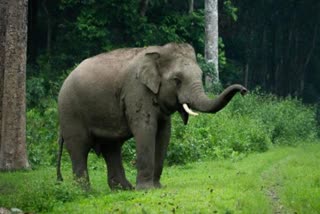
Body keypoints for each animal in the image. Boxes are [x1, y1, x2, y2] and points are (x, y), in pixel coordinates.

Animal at [57, 42, 248, 190]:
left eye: (201, 76)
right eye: (177, 80)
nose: (244, 91)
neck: (158, 51)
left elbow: (164, 134)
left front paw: (157, 187)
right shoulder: (137, 91)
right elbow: (146, 129)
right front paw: (146, 190)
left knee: (111, 147)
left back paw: (123, 189)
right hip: (70, 111)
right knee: (79, 147)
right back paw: (85, 192)